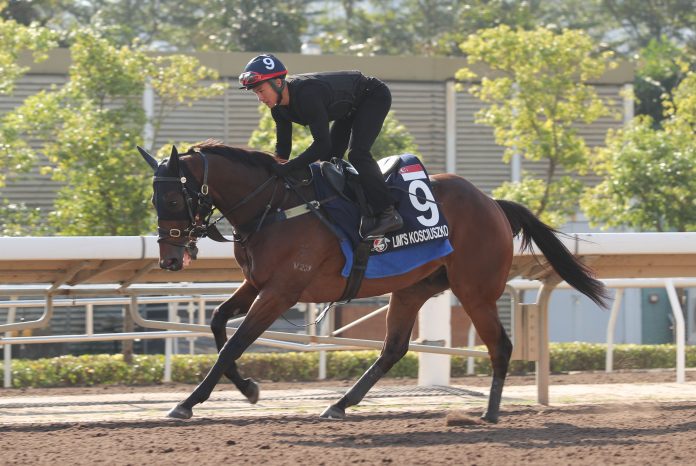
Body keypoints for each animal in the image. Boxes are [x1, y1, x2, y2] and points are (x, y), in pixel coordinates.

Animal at [139, 141, 608, 422]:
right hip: (414, 287)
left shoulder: (281, 291)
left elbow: (234, 342)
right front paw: (249, 388)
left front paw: (186, 403)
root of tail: (492, 202)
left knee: (502, 346)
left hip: (475, 290)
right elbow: (219, 323)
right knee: (393, 348)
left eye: (174, 197)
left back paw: (490, 415)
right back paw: (339, 404)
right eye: (154, 199)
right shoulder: (257, 284)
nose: (169, 258)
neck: (274, 207)